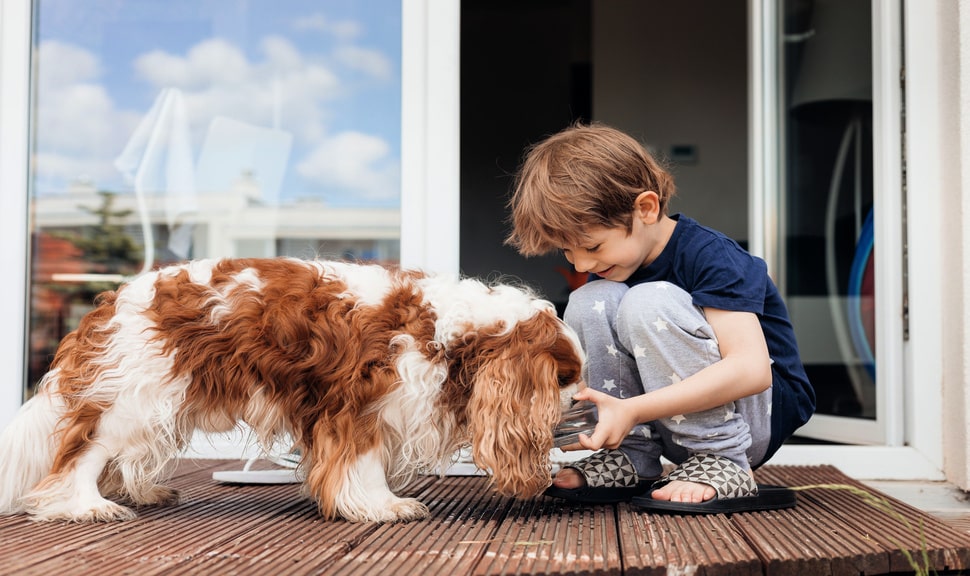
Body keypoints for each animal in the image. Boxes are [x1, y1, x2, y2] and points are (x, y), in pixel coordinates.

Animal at [0, 258, 584, 524]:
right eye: (564, 378)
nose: (583, 397)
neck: (449, 335)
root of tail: (111, 302)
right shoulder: (357, 409)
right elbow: (363, 467)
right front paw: (384, 505)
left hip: (161, 400)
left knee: (128, 456)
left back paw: (144, 493)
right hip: (131, 397)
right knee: (81, 454)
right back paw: (84, 505)